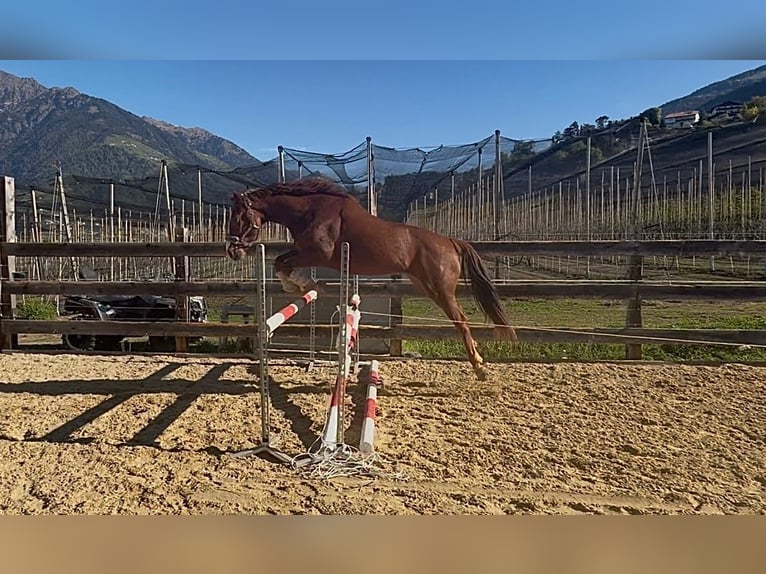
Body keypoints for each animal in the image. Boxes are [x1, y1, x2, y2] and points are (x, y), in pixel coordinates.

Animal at [225, 177, 516, 380]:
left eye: (239, 217)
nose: (232, 251)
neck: (310, 211)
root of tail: (450, 242)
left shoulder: (319, 253)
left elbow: (282, 263)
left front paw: (301, 284)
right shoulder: (306, 252)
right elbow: (280, 261)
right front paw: (302, 285)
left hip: (441, 290)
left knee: (462, 322)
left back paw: (479, 367)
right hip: (426, 286)